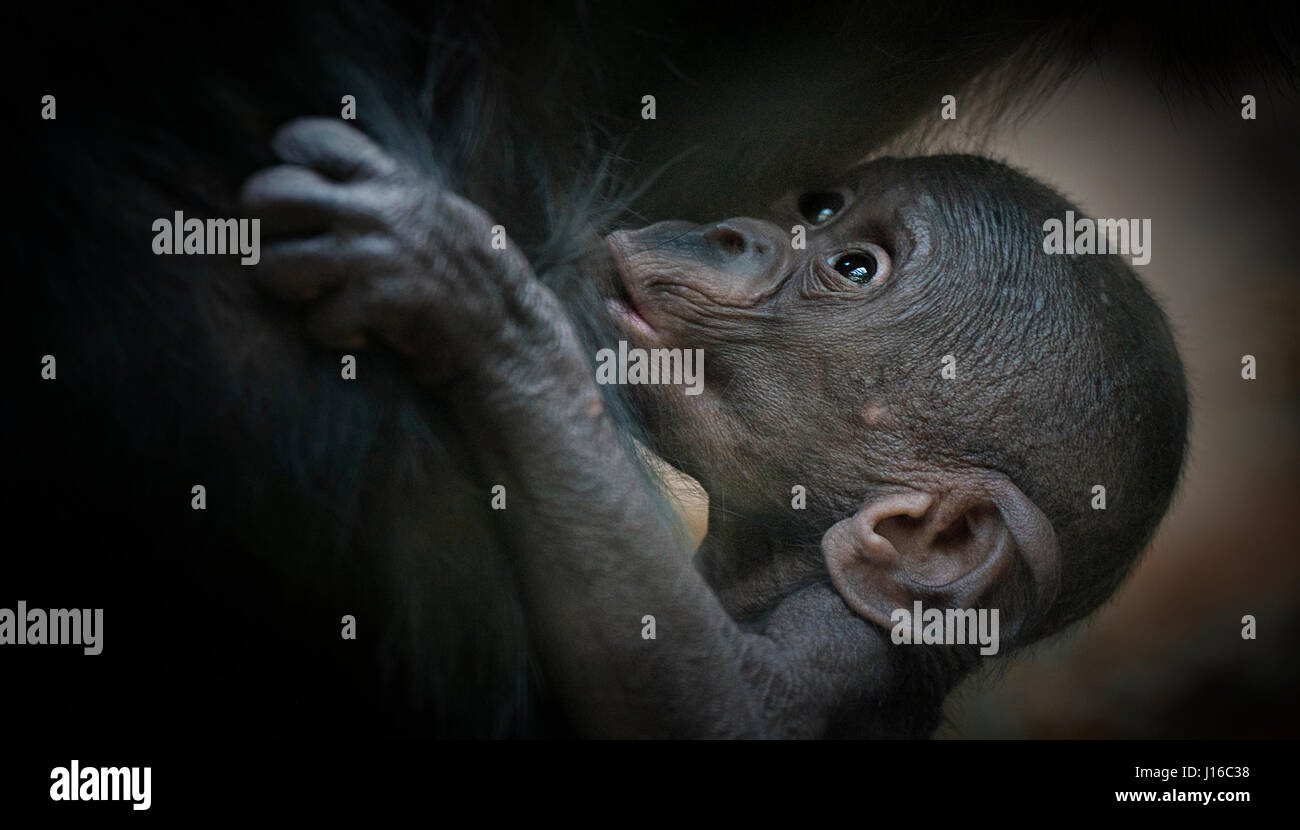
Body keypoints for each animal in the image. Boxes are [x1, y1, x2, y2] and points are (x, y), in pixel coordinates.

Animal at [239, 119, 1188, 737]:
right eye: (821, 207)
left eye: (854, 268)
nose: (738, 233)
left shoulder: (840, 645)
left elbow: (715, 707)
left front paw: (468, 289)